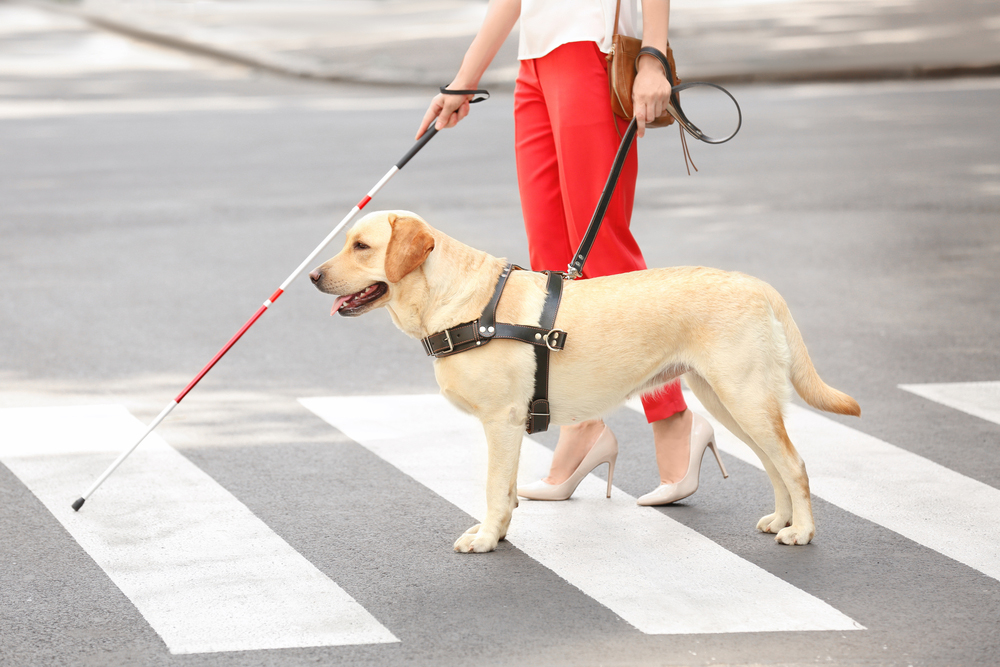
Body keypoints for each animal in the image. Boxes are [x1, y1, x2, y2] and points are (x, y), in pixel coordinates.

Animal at [310, 210, 860, 552]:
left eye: (362, 246)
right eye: (347, 243)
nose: (313, 276)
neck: (462, 302)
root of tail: (758, 284)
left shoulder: (501, 422)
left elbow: (493, 487)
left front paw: (486, 538)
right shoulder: (509, 428)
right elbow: (506, 489)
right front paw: (500, 532)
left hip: (744, 397)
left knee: (794, 463)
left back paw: (802, 532)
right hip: (730, 402)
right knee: (774, 464)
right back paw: (782, 520)